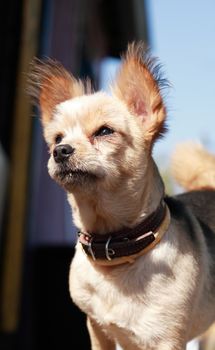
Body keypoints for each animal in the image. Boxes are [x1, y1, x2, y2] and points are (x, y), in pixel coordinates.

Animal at [27, 43, 215, 350]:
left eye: (104, 131)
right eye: (56, 139)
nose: (60, 151)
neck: (115, 248)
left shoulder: (168, 339)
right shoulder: (98, 330)